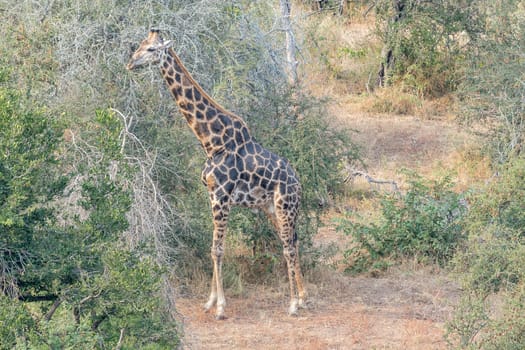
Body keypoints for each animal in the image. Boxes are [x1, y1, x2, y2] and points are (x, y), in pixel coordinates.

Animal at [128, 30, 308, 320]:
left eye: (152, 49)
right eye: (141, 45)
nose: (131, 63)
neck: (211, 142)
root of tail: (298, 182)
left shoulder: (221, 196)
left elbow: (218, 249)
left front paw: (221, 307)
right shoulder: (211, 194)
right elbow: (212, 247)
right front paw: (210, 301)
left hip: (285, 205)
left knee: (288, 246)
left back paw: (293, 304)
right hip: (271, 208)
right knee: (293, 241)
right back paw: (302, 298)